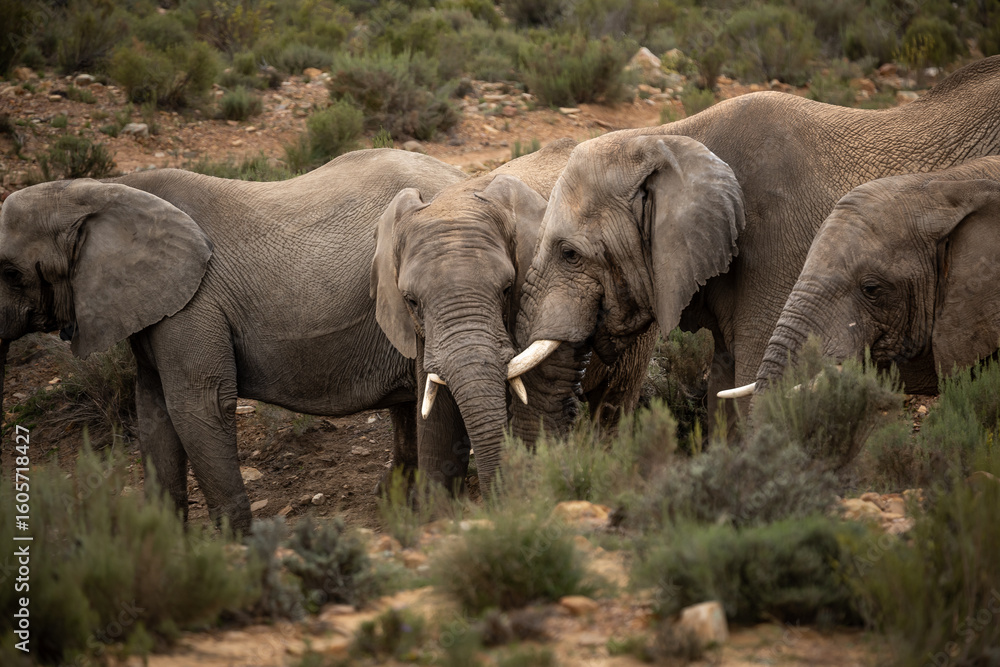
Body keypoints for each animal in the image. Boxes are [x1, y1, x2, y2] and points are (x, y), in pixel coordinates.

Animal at [0, 149, 467, 532]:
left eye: (10, 273)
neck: (103, 187)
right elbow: (153, 412)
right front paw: (165, 541)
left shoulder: (194, 302)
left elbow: (198, 403)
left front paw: (234, 545)